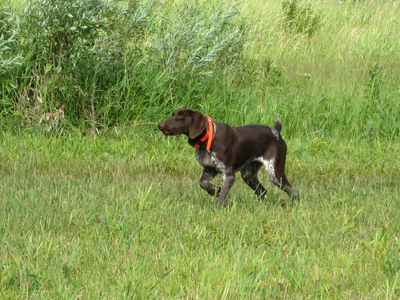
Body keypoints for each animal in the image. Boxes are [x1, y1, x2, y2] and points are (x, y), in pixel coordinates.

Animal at [158, 108, 298, 209]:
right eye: (173, 114)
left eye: (181, 117)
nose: (160, 125)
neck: (208, 139)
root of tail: (276, 132)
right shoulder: (209, 169)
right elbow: (203, 183)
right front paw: (215, 191)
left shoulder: (228, 176)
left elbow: (221, 198)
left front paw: (216, 208)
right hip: (248, 175)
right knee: (262, 191)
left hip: (274, 173)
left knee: (294, 191)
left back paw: (295, 207)